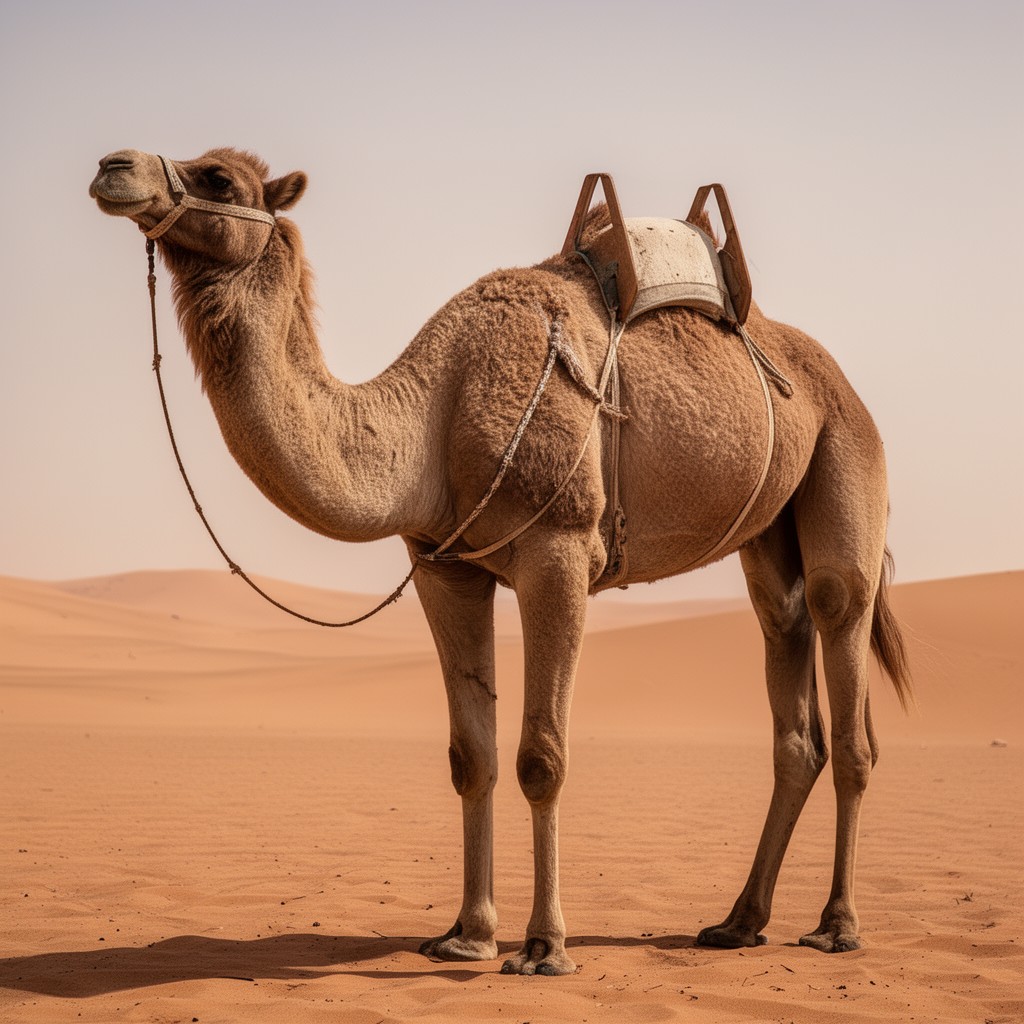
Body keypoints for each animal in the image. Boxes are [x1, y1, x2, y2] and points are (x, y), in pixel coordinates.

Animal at [89, 147, 911, 976]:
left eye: (219, 178)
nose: (113, 166)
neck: (436, 413)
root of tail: (838, 382)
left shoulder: (561, 552)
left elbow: (540, 757)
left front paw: (545, 945)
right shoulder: (446, 567)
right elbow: (471, 757)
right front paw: (467, 933)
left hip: (847, 456)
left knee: (846, 672)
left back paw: (837, 924)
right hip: (768, 537)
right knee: (789, 679)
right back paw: (739, 921)